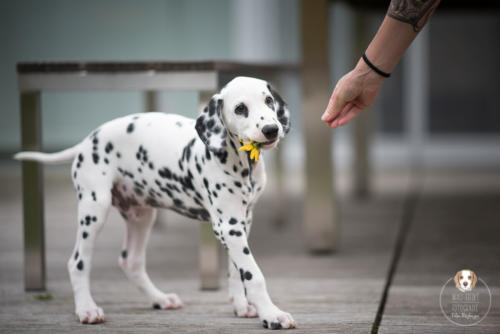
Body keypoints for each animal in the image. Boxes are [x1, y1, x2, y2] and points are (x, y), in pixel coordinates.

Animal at [14, 77, 296, 330]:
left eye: (268, 101)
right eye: (240, 108)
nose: (272, 129)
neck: (241, 162)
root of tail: (87, 141)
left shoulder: (242, 221)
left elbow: (237, 271)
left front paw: (241, 306)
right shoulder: (228, 226)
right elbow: (253, 274)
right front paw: (272, 315)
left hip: (141, 216)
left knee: (131, 261)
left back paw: (160, 299)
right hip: (94, 210)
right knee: (78, 263)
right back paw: (87, 309)